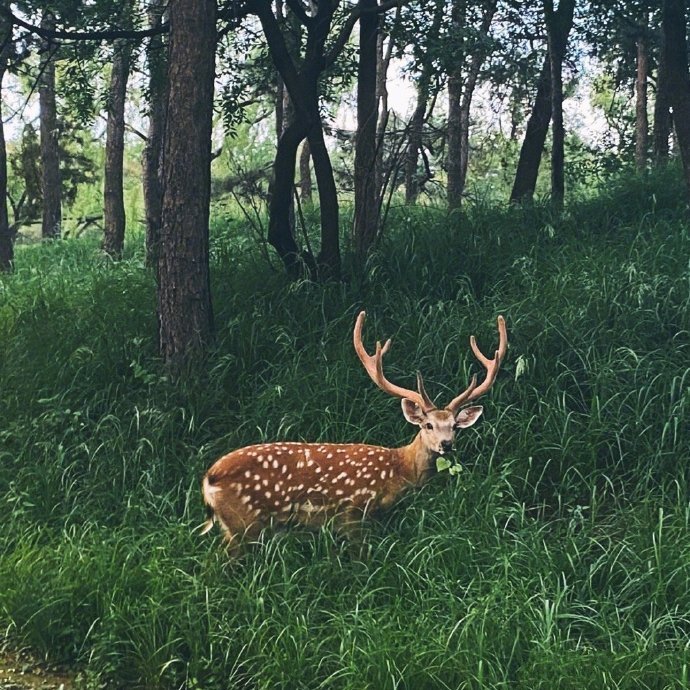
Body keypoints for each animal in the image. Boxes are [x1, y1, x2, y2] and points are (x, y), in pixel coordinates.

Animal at [199, 310, 506, 552]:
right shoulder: (353, 513)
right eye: (428, 425)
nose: (446, 444)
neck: (398, 470)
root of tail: (209, 479)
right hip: (244, 524)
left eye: (454, 426)